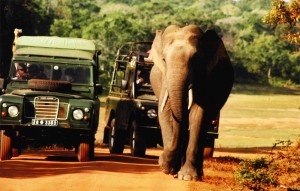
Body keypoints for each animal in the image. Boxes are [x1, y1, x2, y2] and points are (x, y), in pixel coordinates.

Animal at [149, 24, 234, 181]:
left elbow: (198, 114)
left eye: (195, 59)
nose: (161, 161)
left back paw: (195, 174)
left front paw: (187, 176)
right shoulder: (164, 78)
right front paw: (168, 168)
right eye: (164, 59)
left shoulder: (206, 77)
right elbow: (166, 111)